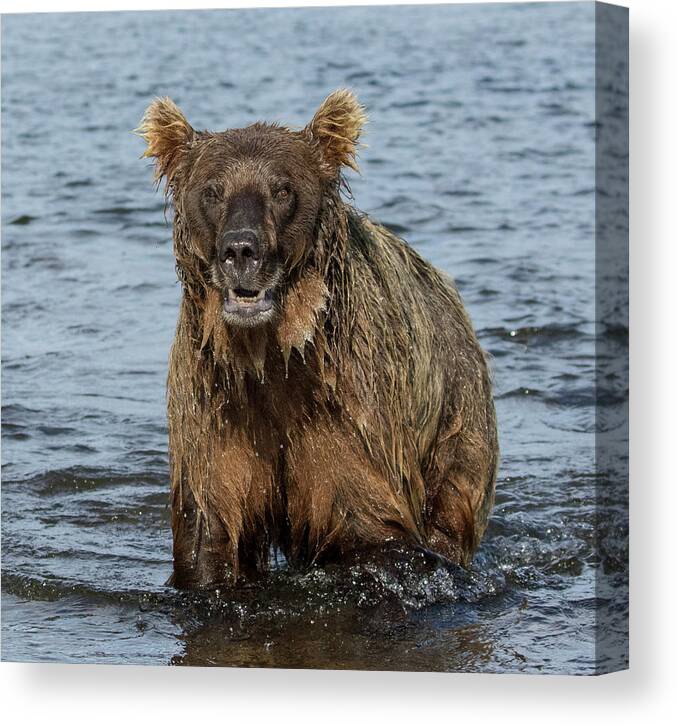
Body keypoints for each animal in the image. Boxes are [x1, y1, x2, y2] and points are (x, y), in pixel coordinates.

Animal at [138, 90, 500, 588]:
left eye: (282, 189)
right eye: (212, 190)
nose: (240, 250)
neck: (270, 354)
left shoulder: (347, 418)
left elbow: (369, 531)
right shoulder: (215, 413)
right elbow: (210, 535)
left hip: (457, 417)